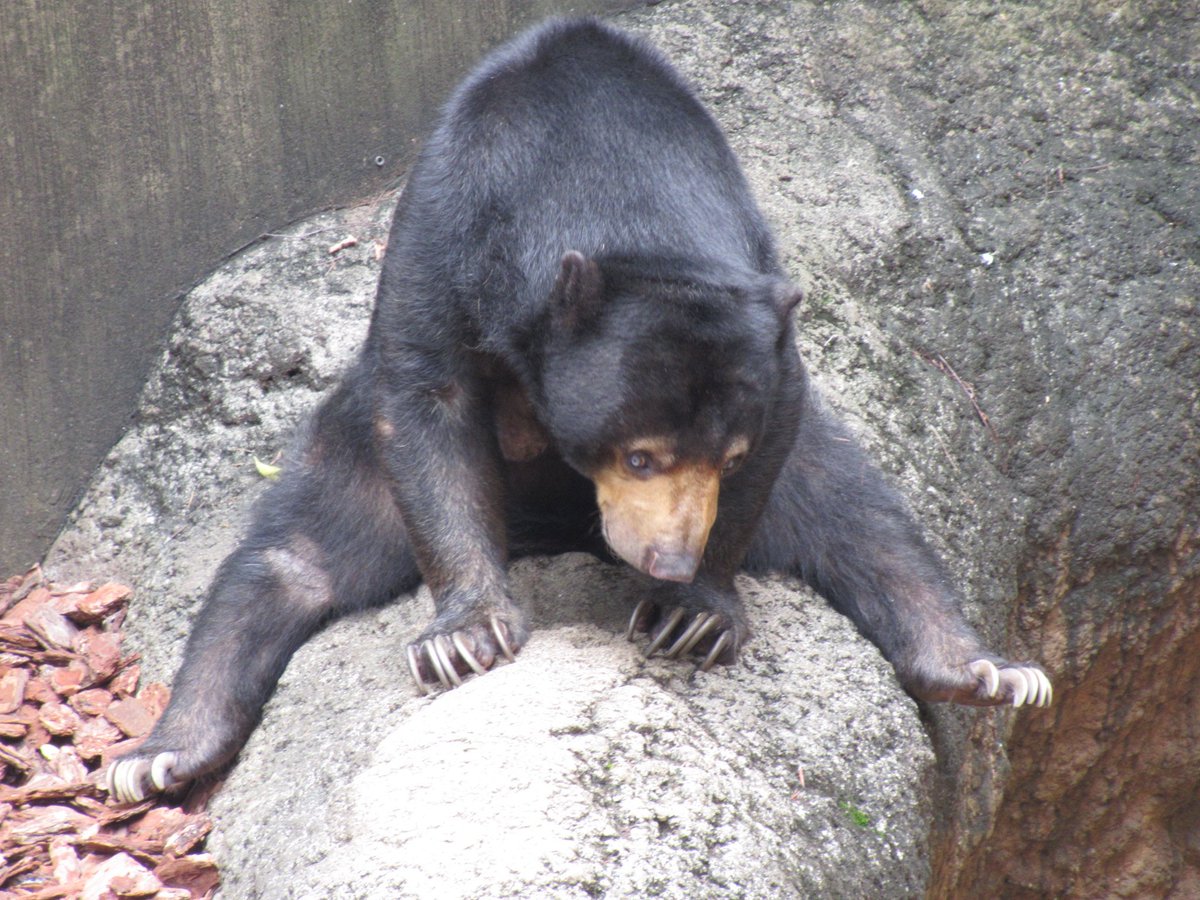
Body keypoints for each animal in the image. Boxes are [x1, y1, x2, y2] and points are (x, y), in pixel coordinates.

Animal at [110, 15, 1051, 801]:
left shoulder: (768, 337)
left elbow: (793, 448)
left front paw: (691, 618)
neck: (613, 192)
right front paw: (465, 637)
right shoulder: (445, 229)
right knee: (286, 561)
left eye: (729, 458)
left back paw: (986, 670)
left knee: (862, 517)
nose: (668, 557)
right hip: (352, 460)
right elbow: (427, 394)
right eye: (640, 455)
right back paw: (160, 753)